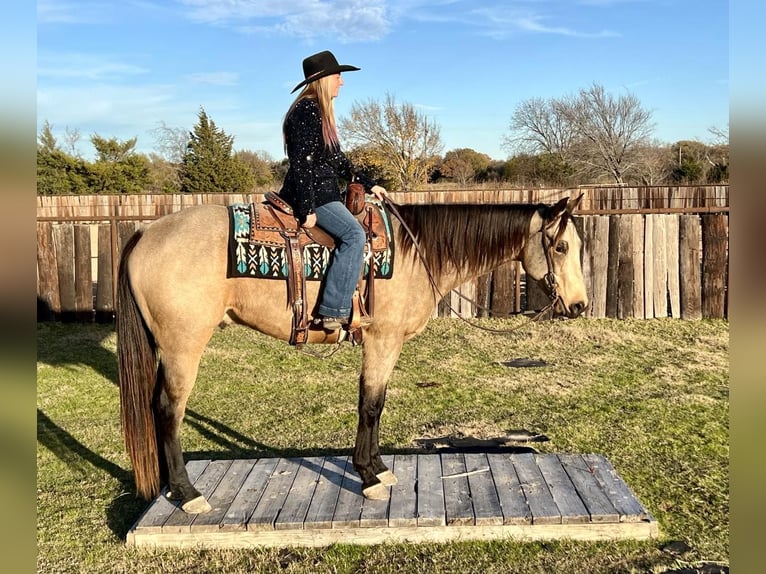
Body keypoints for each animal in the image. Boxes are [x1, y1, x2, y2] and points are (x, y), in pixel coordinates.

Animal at [118, 196, 588, 516]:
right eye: (561, 247)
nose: (580, 305)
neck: (417, 253)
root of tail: (144, 233)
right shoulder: (383, 340)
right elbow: (370, 404)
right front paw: (367, 475)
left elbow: (376, 404)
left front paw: (378, 467)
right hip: (183, 348)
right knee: (167, 411)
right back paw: (187, 493)